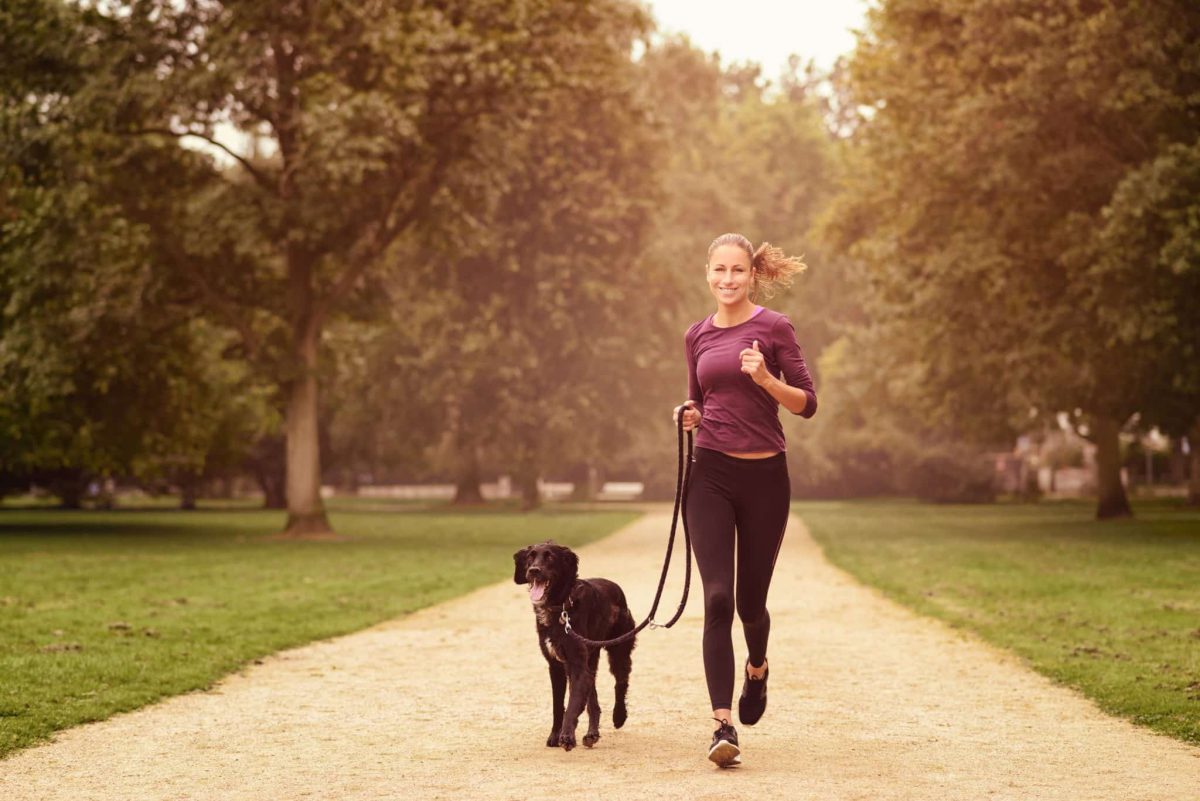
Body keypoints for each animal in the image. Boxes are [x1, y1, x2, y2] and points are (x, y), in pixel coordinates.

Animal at [516, 537, 638, 753]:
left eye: (550, 557)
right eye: (531, 556)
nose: (534, 570)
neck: (561, 607)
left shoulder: (577, 665)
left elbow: (572, 704)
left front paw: (566, 736)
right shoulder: (556, 665)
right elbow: (559, 706)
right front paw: (555, 736)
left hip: (619, 650)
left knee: (621, 683)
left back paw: (619, 716)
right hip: (591, 659)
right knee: (593, 700)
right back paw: (591, 734)